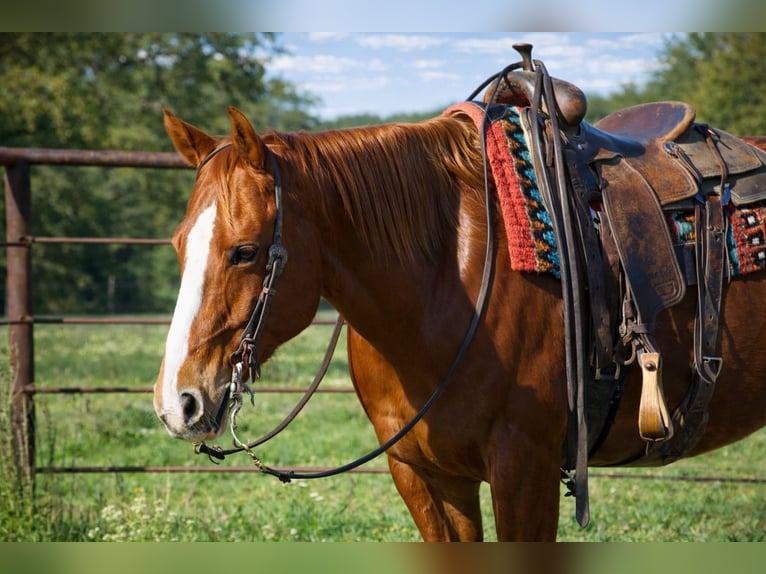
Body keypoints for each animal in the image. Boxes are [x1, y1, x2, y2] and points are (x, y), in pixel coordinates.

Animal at [153, 64, 766, 541]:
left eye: (245, 251)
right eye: (178, 243)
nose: (178, 404)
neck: (442, 287)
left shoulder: (525, 470)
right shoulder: (425, 475)